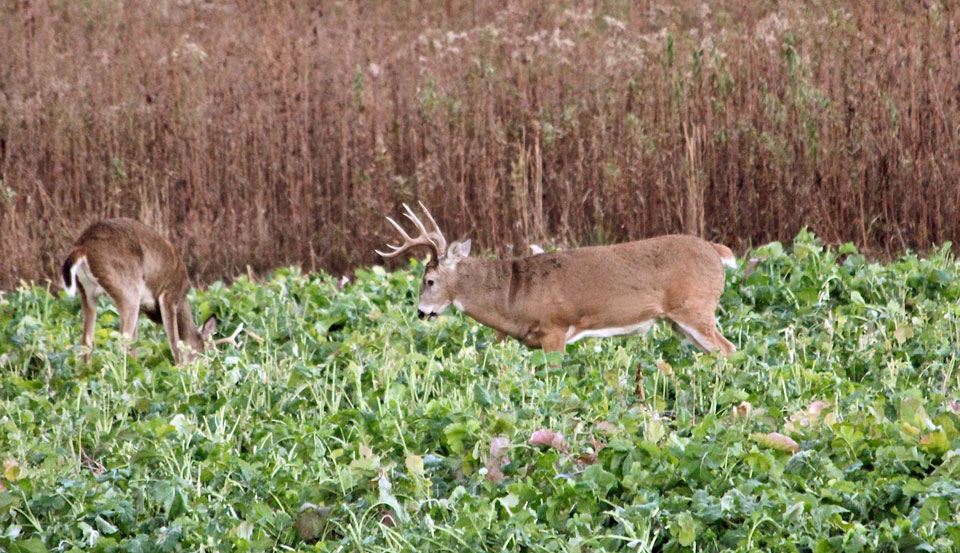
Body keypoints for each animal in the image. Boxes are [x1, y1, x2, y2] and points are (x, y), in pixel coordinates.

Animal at [61, 218, 218, 364]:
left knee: (87, 342)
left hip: (87, 293)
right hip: (128, 292)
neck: (182, 301)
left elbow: (135, 348)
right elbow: (175, 345)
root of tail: (83, 247)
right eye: (205, 353)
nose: (207, 367)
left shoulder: (141, 309)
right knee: (121, 343)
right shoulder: (169, 296)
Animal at [378, 205, 740, 356]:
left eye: (429, 280)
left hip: (695, 308)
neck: (513, 294)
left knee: (729, 349)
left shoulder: (555, 329)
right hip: (679, 321)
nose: (421, 312)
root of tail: (716, 250)